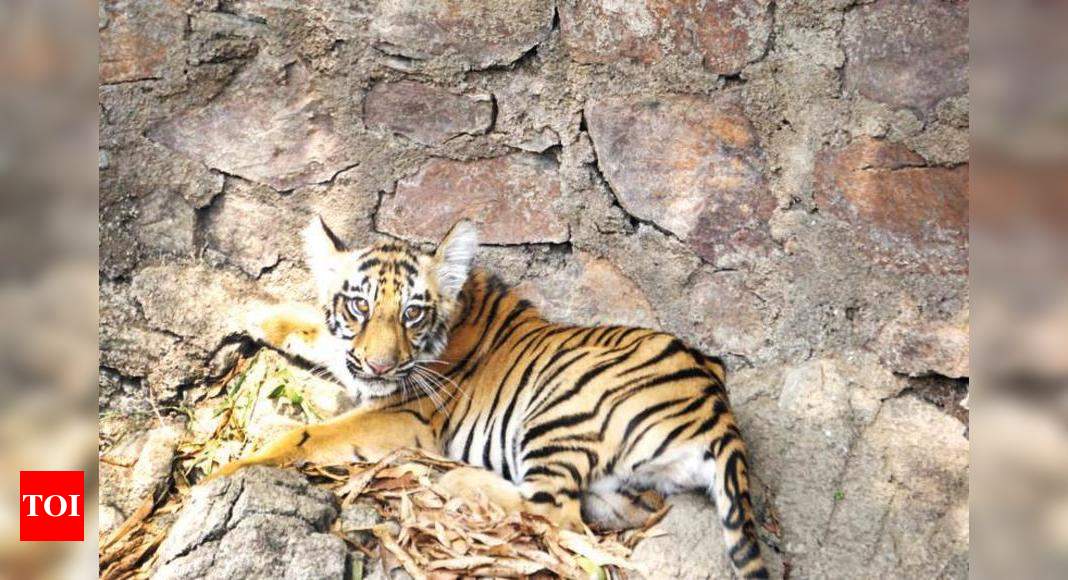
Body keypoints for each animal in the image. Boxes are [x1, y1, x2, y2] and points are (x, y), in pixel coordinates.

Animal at [214, 215, 768, 576]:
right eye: (358, 306)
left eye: (412, 313)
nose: (380, 365)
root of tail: (721, 411)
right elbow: (313, 329)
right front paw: (252, 312)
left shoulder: (402, 418)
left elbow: (302, 438)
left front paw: (224, 474)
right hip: (628, 480)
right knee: (611, 512)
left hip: (559, 408)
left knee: (554, 514)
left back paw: (456, 480)